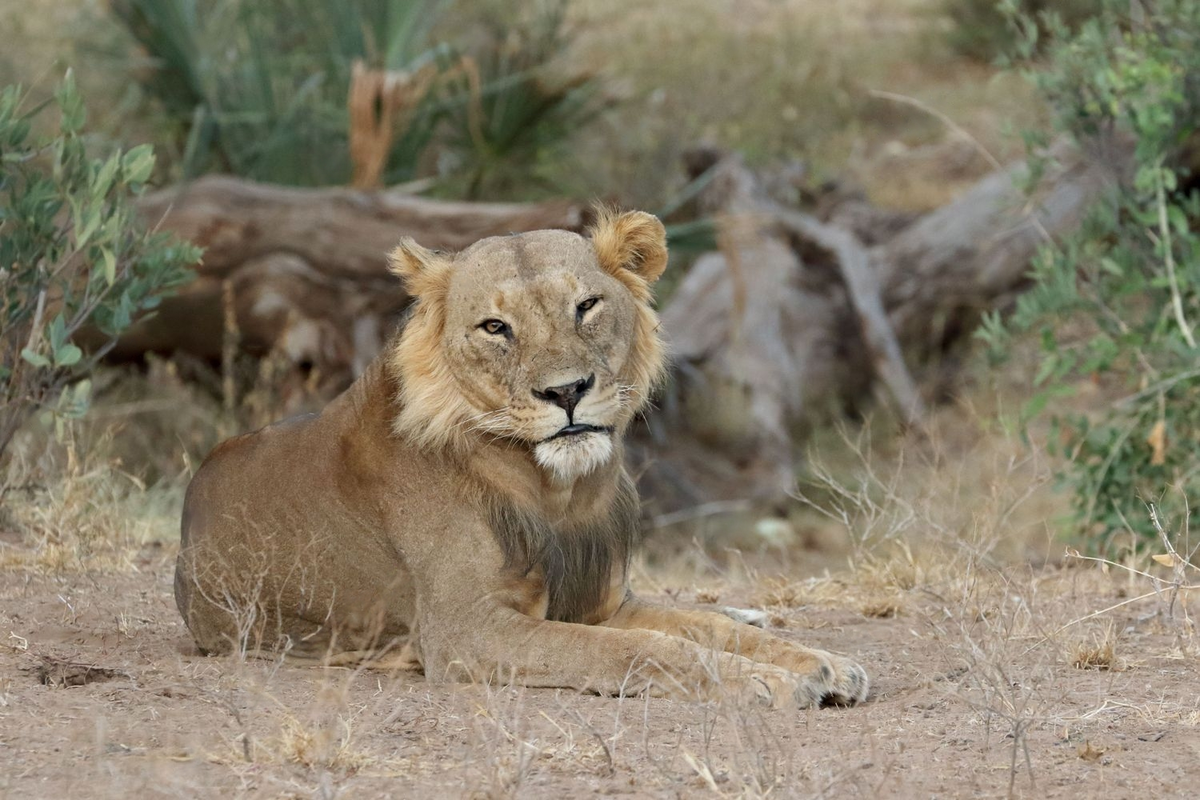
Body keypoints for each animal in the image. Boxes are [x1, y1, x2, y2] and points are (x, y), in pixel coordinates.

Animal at [174, 209, 868, 710]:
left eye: (586, 306)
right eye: (495, 327)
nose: (566, 392)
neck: (557, 489)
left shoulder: (602, 602)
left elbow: (711, 629)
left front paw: (821, 663)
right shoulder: (466, 631)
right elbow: (636, 651)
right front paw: (762, 682)